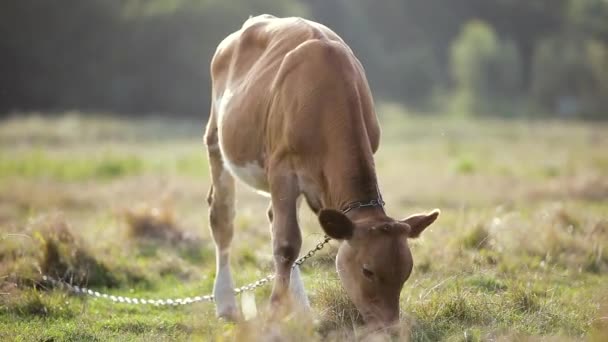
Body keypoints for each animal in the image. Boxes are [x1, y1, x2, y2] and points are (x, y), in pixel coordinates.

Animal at [203, 14, 436, 328]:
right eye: (368, 270)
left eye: (407, 271)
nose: (389, 327)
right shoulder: (282, 170)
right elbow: (286, 244)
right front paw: (274, 312)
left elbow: (289, 242)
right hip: (216, 140)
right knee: (224, 218)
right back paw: (226, 304)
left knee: (275, 220)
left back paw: (302, 309)